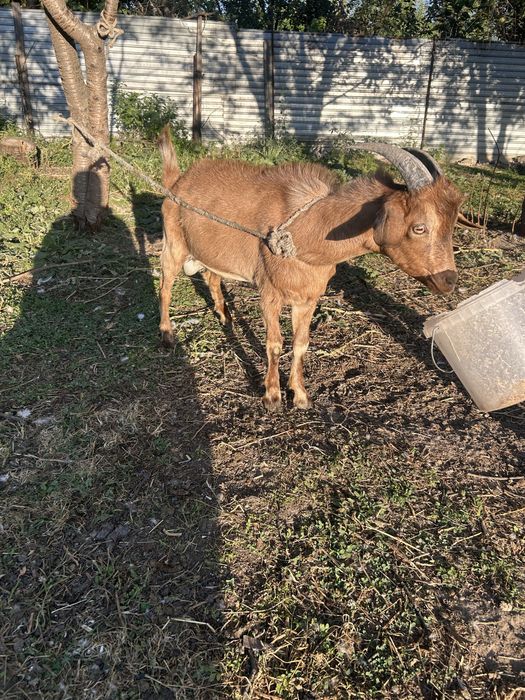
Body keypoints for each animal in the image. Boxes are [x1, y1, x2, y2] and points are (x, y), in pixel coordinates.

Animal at [158, 127, 463, 410]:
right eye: (419, 227)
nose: (448, 280)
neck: (306, 231)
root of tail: (177, 180)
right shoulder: (269, 293)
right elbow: (274, 343)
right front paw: (272, 396)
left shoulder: (308, 297)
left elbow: (301, 343)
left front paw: (301, 396)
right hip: (174, 244)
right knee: (165, 286)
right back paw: (168, 335)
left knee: (211, 276)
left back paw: (225, 317)